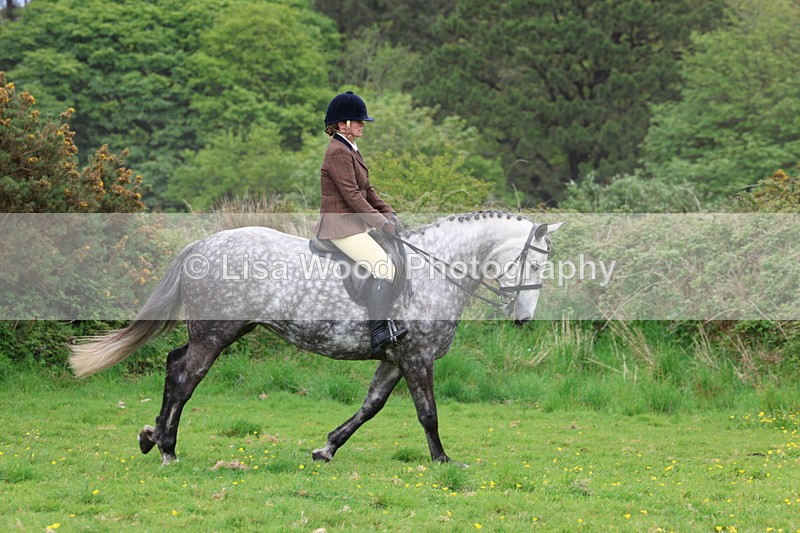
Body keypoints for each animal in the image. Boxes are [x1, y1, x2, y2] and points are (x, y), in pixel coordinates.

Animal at [69, 211, 562, 466]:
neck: (435, 271)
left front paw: (327, 448)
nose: (523, 320)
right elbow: (428, 414)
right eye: (536, 264)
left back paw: (151, 436)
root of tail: (201, 245)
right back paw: (168, 449)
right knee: (186, 377)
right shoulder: (417, 356)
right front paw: (443, 462)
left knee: (174, 365)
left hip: (222, 330)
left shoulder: (394, 358)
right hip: (216, 334)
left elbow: (370, 406)